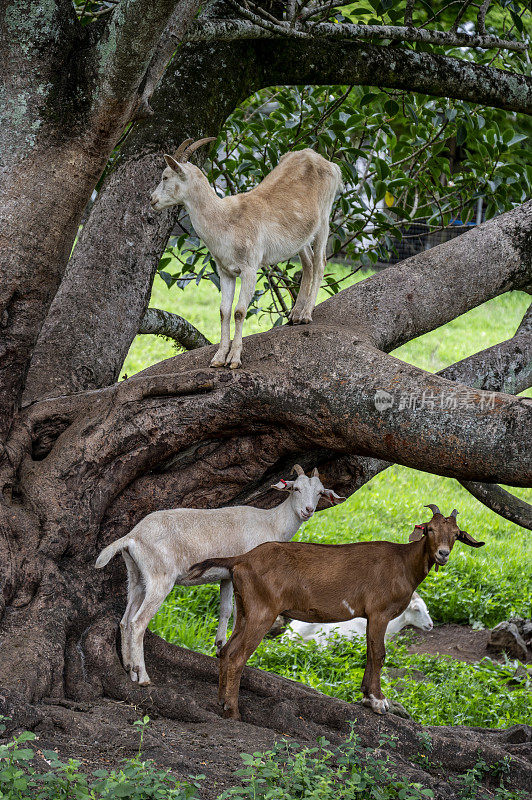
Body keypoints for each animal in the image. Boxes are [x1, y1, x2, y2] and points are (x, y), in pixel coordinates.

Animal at [95, 466, 344, 684]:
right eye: (296, 489)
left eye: (320, 492)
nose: (308, 511)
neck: (272, 524)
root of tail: (132, 537)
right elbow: (241, 614)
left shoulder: (227, 575)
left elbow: (225, 610)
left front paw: (220, 646)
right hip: (160, 578)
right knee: (138, 623)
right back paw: (143, 677)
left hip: (136, 576)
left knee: (125, 622)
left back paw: (130, 670)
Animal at [149, 140, 344, 368]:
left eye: (165, 176)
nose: (152, 200)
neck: (227, 221)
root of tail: (327, 162)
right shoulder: (225, 271)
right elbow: (224, 311)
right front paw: (218, 359)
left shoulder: (250, 268)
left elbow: (240, 311)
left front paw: (233, 359)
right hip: (299, 236)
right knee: (308, 263)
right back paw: (294, 315)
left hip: (324, 218)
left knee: (320, 261)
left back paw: (305, 315)